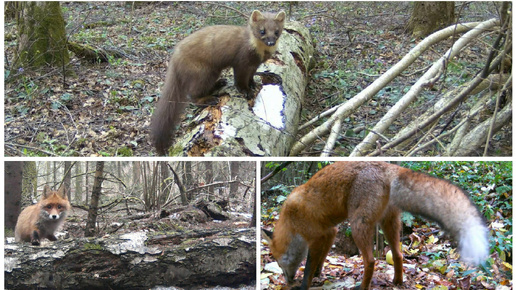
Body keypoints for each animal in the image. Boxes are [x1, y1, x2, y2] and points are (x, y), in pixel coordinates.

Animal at [264, 161, 490, 290]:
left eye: (278, 261)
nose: (286, 282)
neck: (291, 221)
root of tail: (391, 167)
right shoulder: (330, 232)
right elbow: (321, 259)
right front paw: (319, 274)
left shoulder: (317, 236)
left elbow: (310, 265)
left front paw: (304, 285)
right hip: (388, 223)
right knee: (398, 255)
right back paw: (397, 282)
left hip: (358, 224)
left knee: (371, 261)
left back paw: (362, 287)